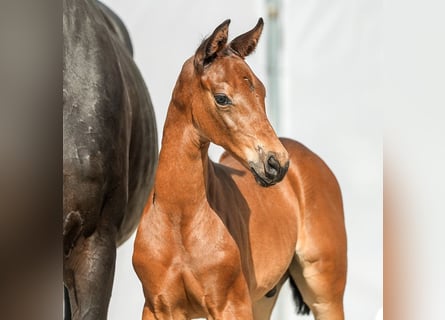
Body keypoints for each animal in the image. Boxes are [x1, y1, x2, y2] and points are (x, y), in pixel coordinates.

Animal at [132, 18, 346, 318]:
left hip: (324, 293)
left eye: (263, 91)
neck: (178, 218)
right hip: (263, 299)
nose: (276, 163)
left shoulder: (230, 304)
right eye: (222, 98)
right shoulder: (158, 307)